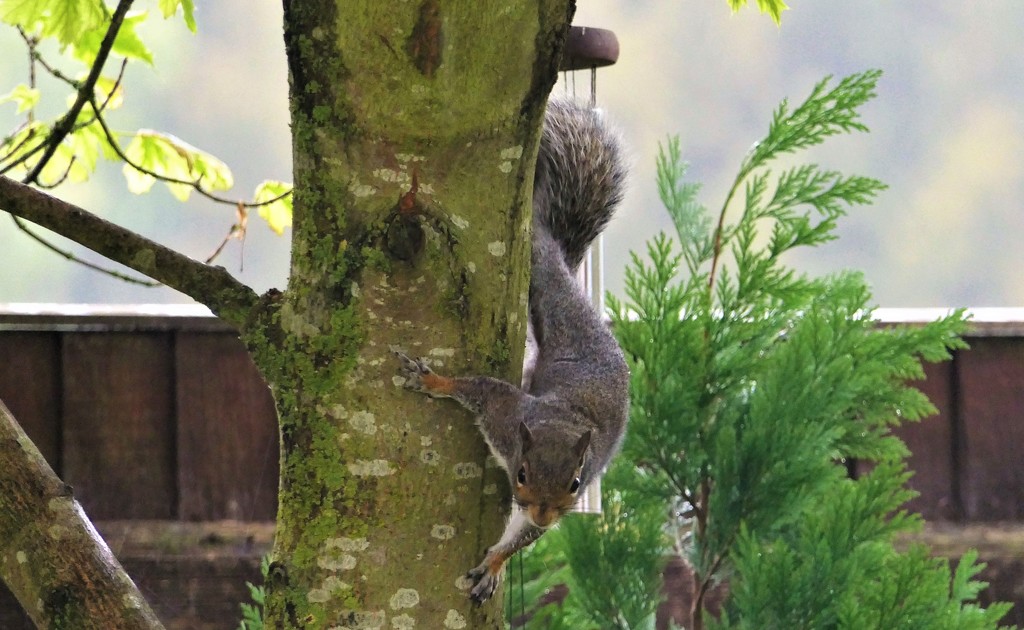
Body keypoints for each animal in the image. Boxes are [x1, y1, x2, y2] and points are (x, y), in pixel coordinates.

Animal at [393, 99, 626, 606]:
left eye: (575, 482)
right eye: (520, 473)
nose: (543, 513)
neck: (562, 422)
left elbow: (521, 537)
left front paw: (495, 564)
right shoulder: (504, 415)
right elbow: (477, 388)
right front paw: (432, 380)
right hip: (548, 290)